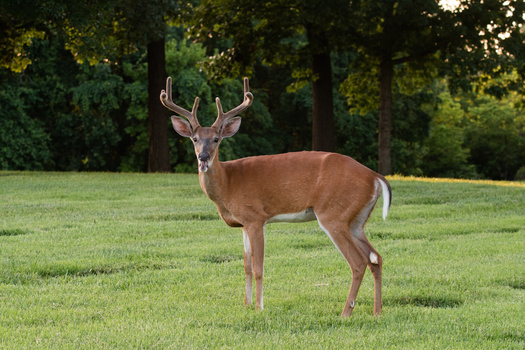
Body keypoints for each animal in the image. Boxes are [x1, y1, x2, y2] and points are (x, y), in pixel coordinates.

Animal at [160, 77, 388, 318]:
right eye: (194, 139)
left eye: (216, 139)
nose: (203, 157)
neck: (227, 183)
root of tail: (375, 176)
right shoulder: (243, 223)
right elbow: (246, 266)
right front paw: (246, 304)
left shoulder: (255, 216)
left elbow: (258, 267)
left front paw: (259, 307)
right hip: (356, 220)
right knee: (376, 258)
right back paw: (377, 311)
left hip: (333, 214)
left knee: (358, 262)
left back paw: (346, 312)